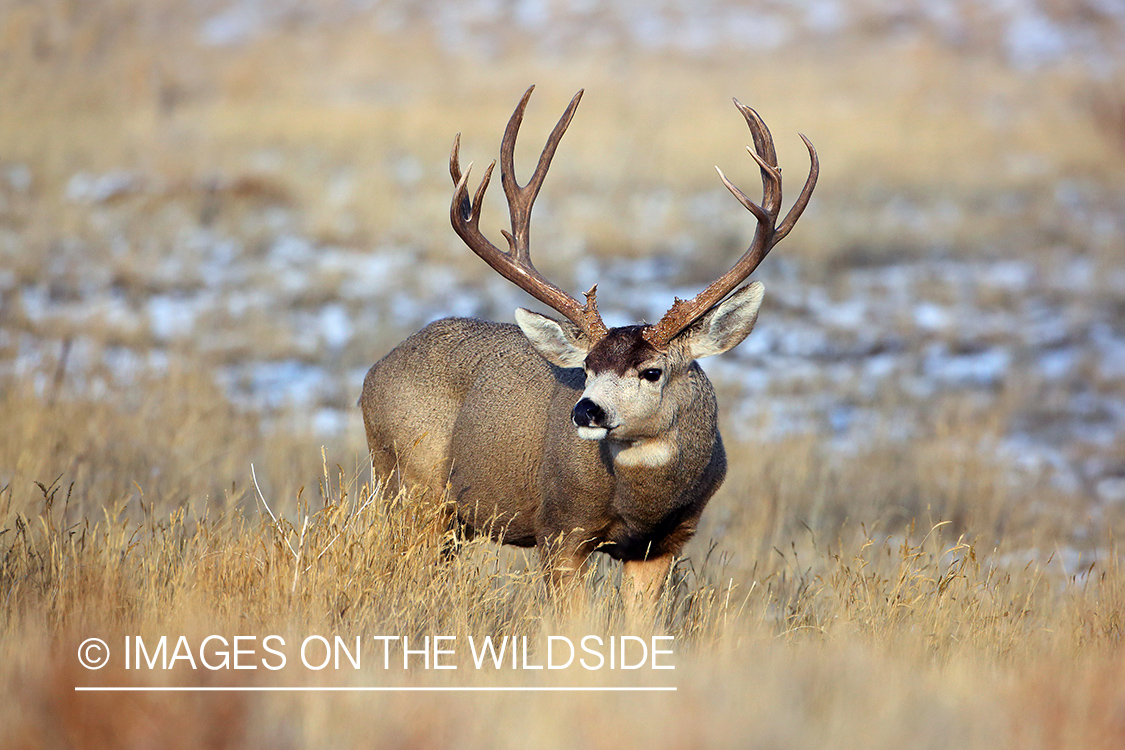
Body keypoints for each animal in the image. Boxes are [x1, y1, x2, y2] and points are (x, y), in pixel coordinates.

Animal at [362, 86, 819, 611]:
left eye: (652, 371)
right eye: (586, 368)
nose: (586, 411)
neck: (642, 505)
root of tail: (372, 374)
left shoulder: (664, 543)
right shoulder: (559, 529)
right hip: (409, 486)